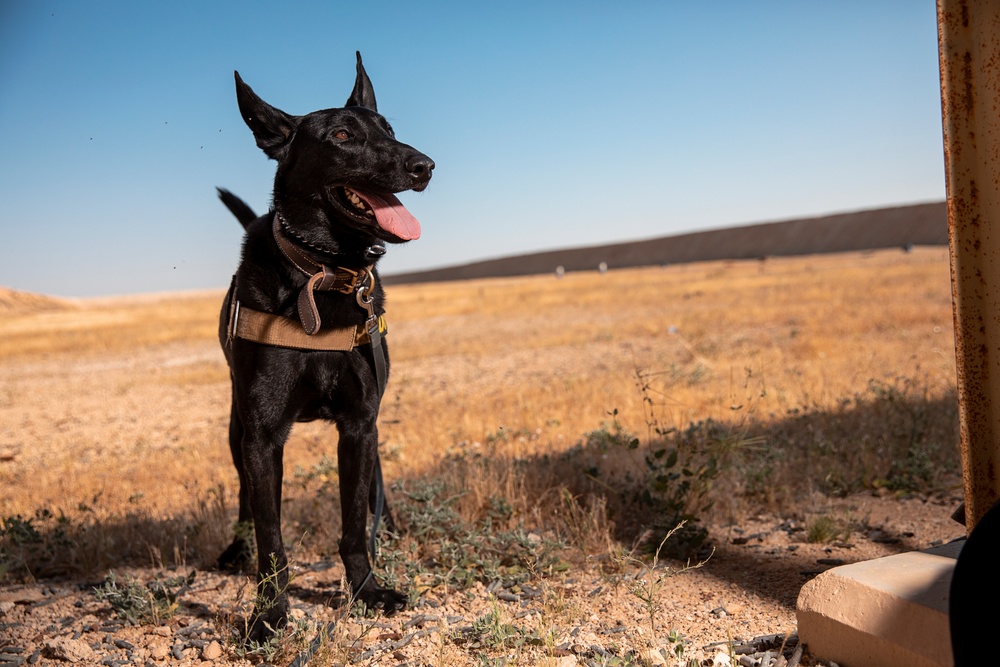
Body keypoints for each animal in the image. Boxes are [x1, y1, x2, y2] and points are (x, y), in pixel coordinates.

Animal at [215, 53, 434, 640]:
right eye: (341, 136)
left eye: (390, 130)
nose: (424, 166)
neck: (323, 273)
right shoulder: (264, 436)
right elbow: (271, 540)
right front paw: (269, 614)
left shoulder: (359, 424)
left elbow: (356, 522)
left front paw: (367, 591)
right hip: (236, 426)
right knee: (243, 497)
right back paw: (233, 548)